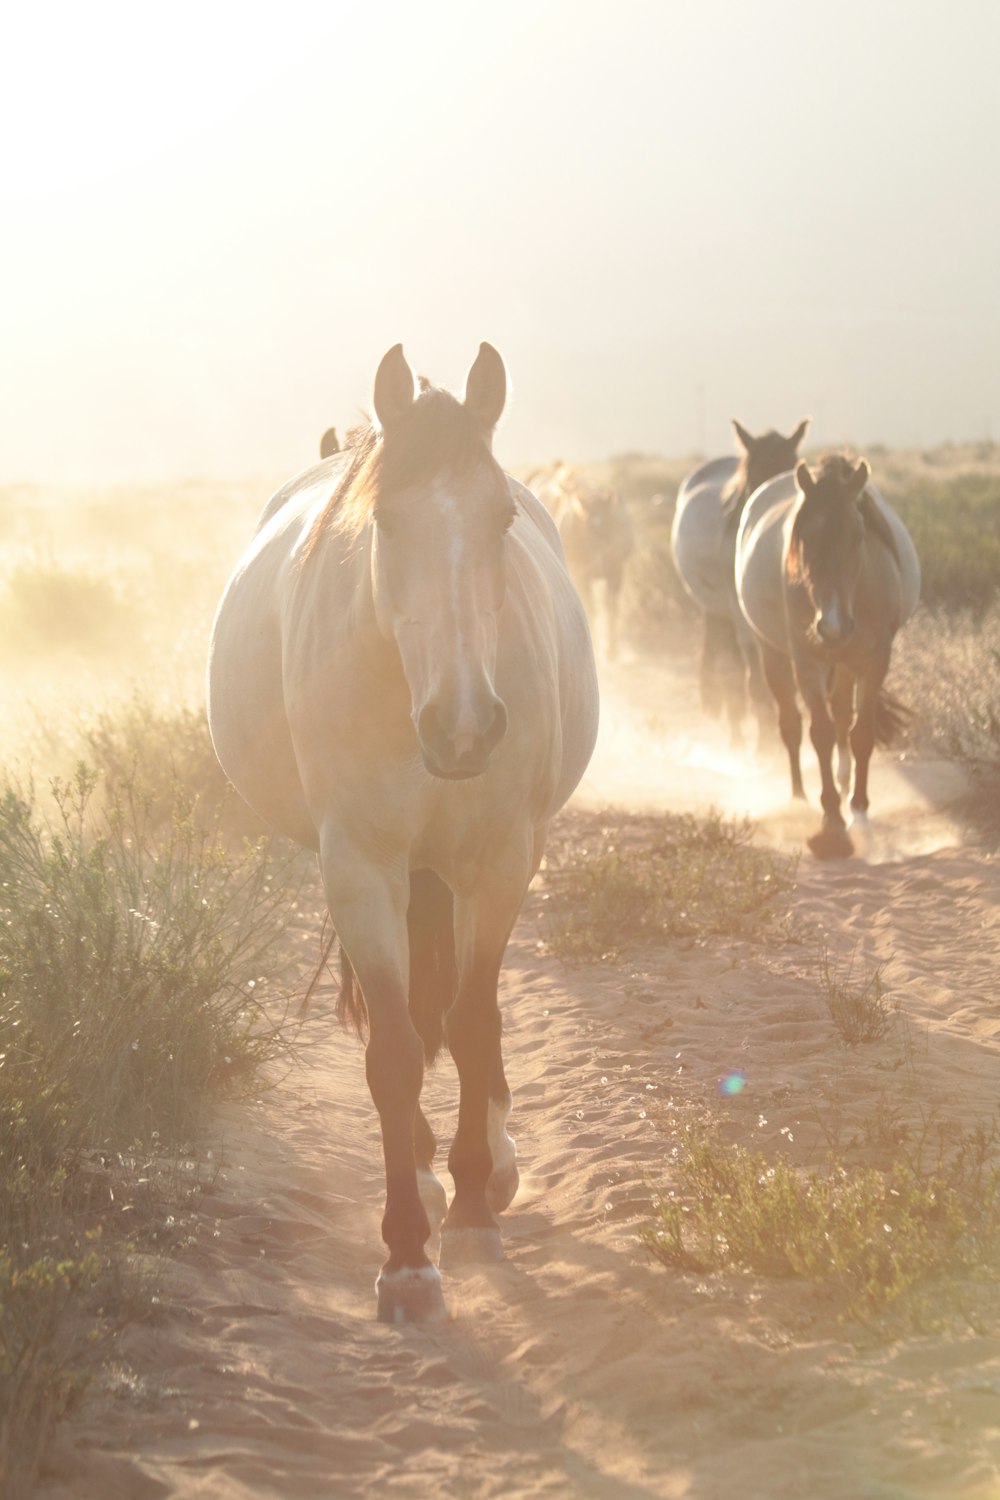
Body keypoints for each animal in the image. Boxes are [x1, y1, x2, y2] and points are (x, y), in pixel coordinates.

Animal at [208, 345, 599, 1320]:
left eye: (500, 518)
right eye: (385, 520)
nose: (464, 727)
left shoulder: (499, 862)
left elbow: (475, 1022)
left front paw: (472, 1205)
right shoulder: (362, 869)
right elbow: (395, 1050)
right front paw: (409, 1254)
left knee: (455, 1008)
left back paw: (486, 1166)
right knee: (417, 1015)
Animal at [668, 420, 809, 747]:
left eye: (792, 471)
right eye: (753, 481)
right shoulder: (746, 618)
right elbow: (756, 678)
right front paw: (767, 742)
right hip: (716, 610)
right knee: (729, 668)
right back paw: (738, 738)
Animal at [734, 453, 923, 858]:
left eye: (858, 536)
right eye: (805, 537)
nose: (833, 626)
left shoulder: (875, 661)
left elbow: (860, 733)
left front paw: (860, 810)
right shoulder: (808, 661)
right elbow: (818, 732)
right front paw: (832, 818)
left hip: (847, 662)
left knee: (842, 717)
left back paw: (844, 781)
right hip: (773, 654)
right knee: (791, 724)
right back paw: (799, 798)